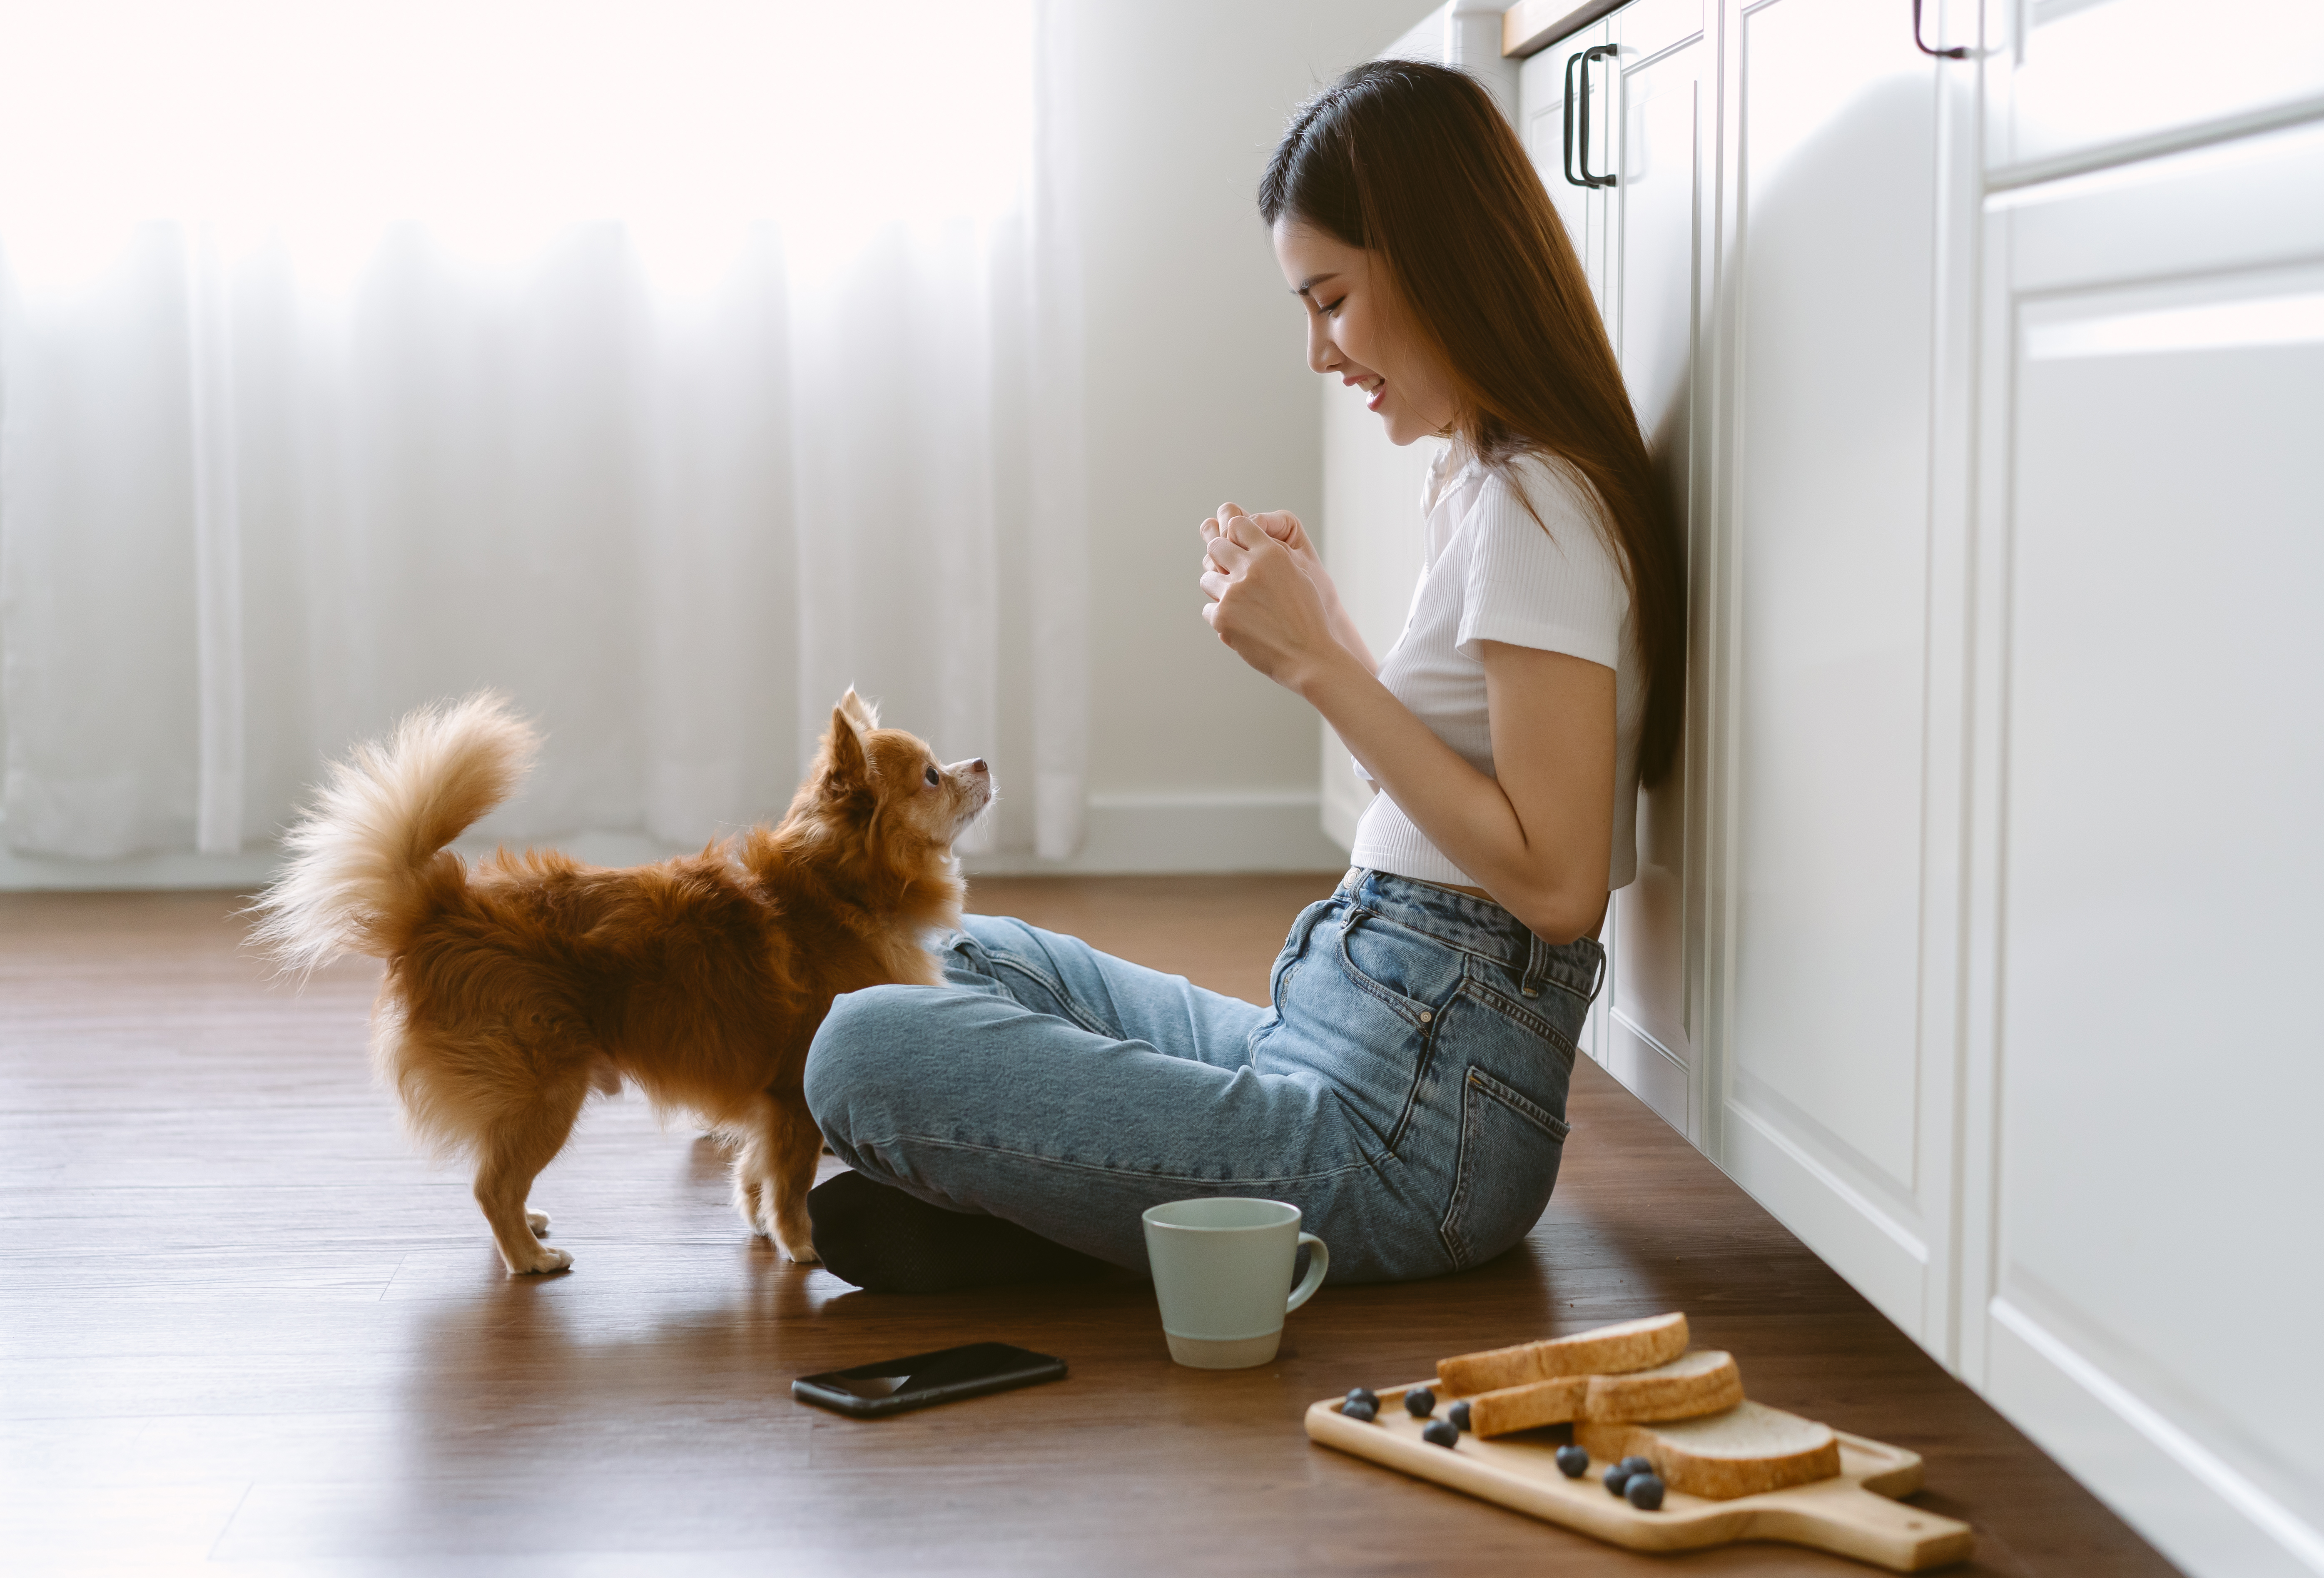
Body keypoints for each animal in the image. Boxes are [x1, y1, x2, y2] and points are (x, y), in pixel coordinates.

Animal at [254, 692, 990, 1273]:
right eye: (932, 776)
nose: (982, 762)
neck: (838, 892)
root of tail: (439, 907)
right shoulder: (792, 1100)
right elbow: (791, 1182)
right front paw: (801, 1247)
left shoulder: (765, 1105)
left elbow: (754, 1171)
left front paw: (758, 1225)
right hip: (548, 1094)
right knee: (491, 1187)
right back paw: (529, 1258)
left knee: (495, 1175)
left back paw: (529, 1228)